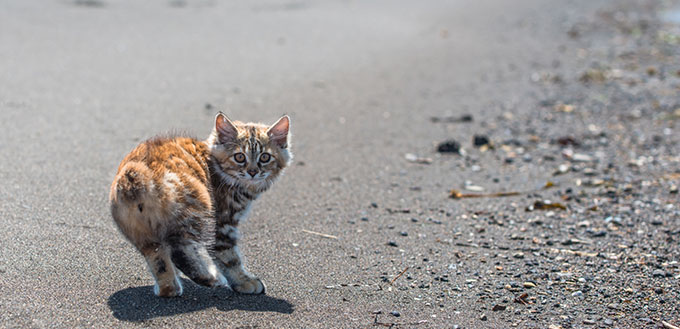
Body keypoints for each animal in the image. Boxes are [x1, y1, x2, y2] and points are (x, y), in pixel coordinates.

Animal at [108, 113, 290, 298]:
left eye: (265, 157)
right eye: (239, 157)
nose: (253, 172)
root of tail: (135, 173)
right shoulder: (223, 223)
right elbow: (230, 259)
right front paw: (244, 282)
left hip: (143, 234)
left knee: (159, 260)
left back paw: (170, 288)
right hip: (196, 208)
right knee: (179, 250)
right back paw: (212, 278)